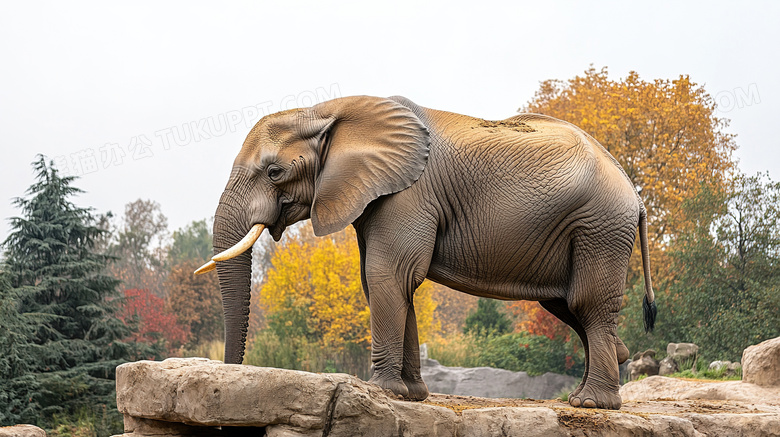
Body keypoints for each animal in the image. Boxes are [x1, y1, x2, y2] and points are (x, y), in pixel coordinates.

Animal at [197, 94, 660, 408]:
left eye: (274, 172)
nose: (230, 377)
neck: (328, 109)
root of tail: (634, 196)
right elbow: (385, 283)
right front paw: (411, 395)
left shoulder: (408, 195)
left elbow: (389, 276)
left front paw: (382, 390)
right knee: (566, 304)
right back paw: (602, 375)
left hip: (599, 227)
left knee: (586, 303)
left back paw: (590, 403)